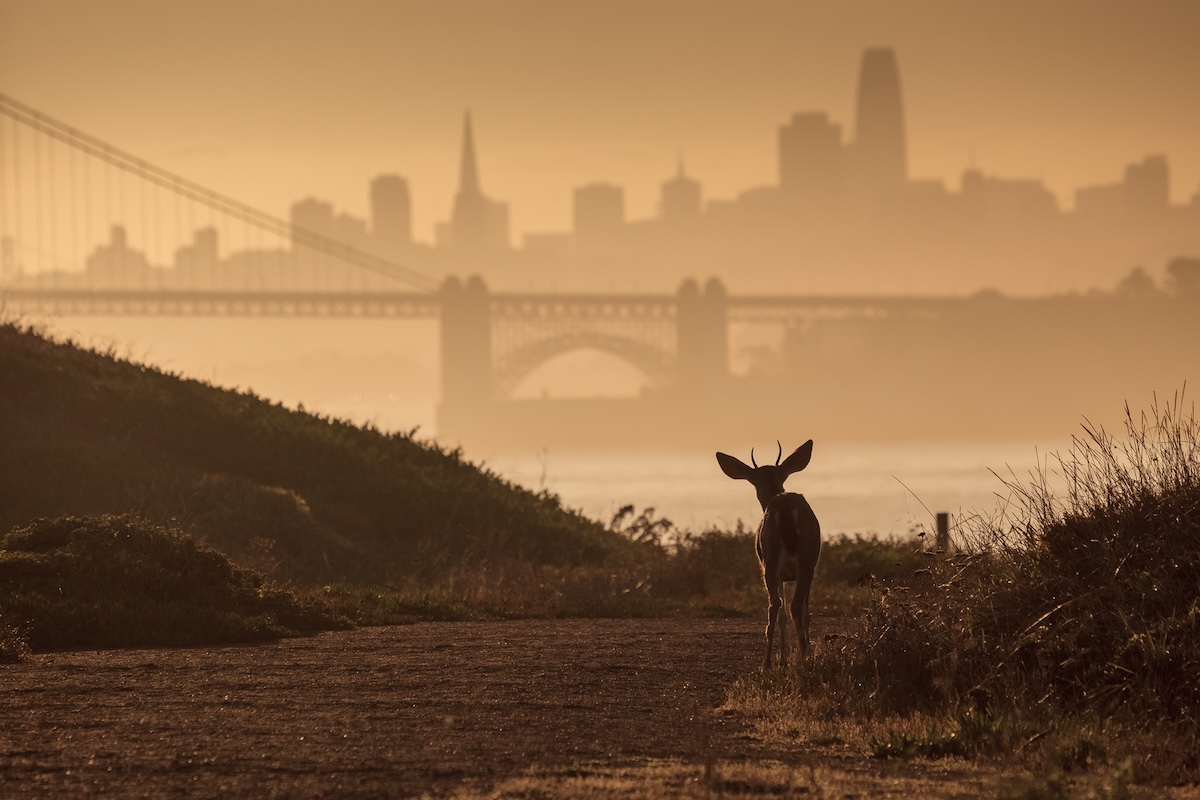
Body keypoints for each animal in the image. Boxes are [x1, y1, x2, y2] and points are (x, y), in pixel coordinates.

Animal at [716, 440, 820, 669]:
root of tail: (785, 509)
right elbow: (798, 613)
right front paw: (787, 657)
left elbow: (784, 613)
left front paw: (782, 658)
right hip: (804, 561)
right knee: (792, 606)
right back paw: (801, 657)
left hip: (772, 562)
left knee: (777, 606)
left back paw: (768, 663)